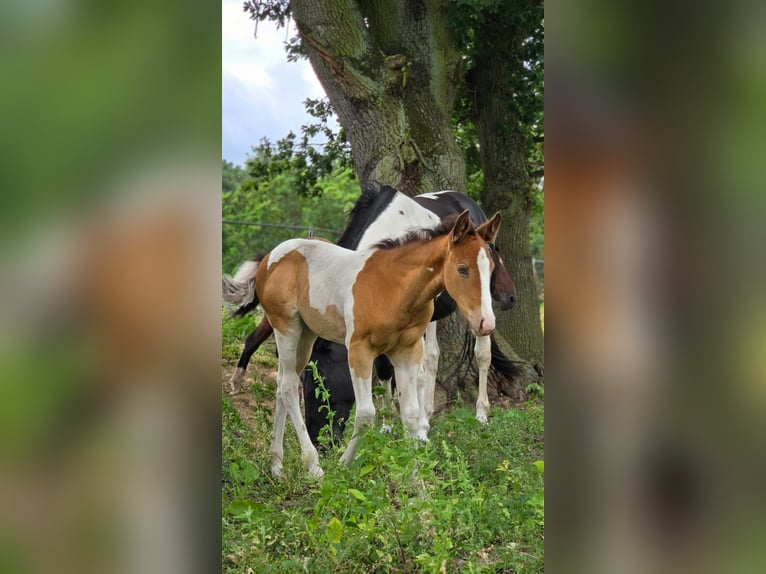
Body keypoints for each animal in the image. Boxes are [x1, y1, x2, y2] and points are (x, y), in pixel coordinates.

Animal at [222, 210, 501, 477]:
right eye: (462, 268)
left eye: (491, 269)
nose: (486, 323)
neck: (393, 289)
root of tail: (270, 257)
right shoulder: (359, 351)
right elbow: (366, 414)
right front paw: (344, 464)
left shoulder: (407, 352)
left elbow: (411, 415)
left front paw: (418, 484)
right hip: (285, 327)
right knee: (289, 387)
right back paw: (313, 466)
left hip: (307, 334)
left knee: (282, 384)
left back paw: (276, 465)